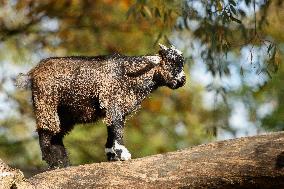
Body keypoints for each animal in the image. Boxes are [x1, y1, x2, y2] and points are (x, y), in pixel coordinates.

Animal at [15, 43, 186, 168]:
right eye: (172, 62)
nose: (183, 80)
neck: (129, 73)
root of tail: (33, 72)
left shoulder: (114, 109)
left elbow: (111, 129)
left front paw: (112, 155)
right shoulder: (113, 103)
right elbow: (117, 128)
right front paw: (123, 154)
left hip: (63, 113)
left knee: (55, 136)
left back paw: (65, 164)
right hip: (46, 103)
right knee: (46, 133)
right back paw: (56, 164)